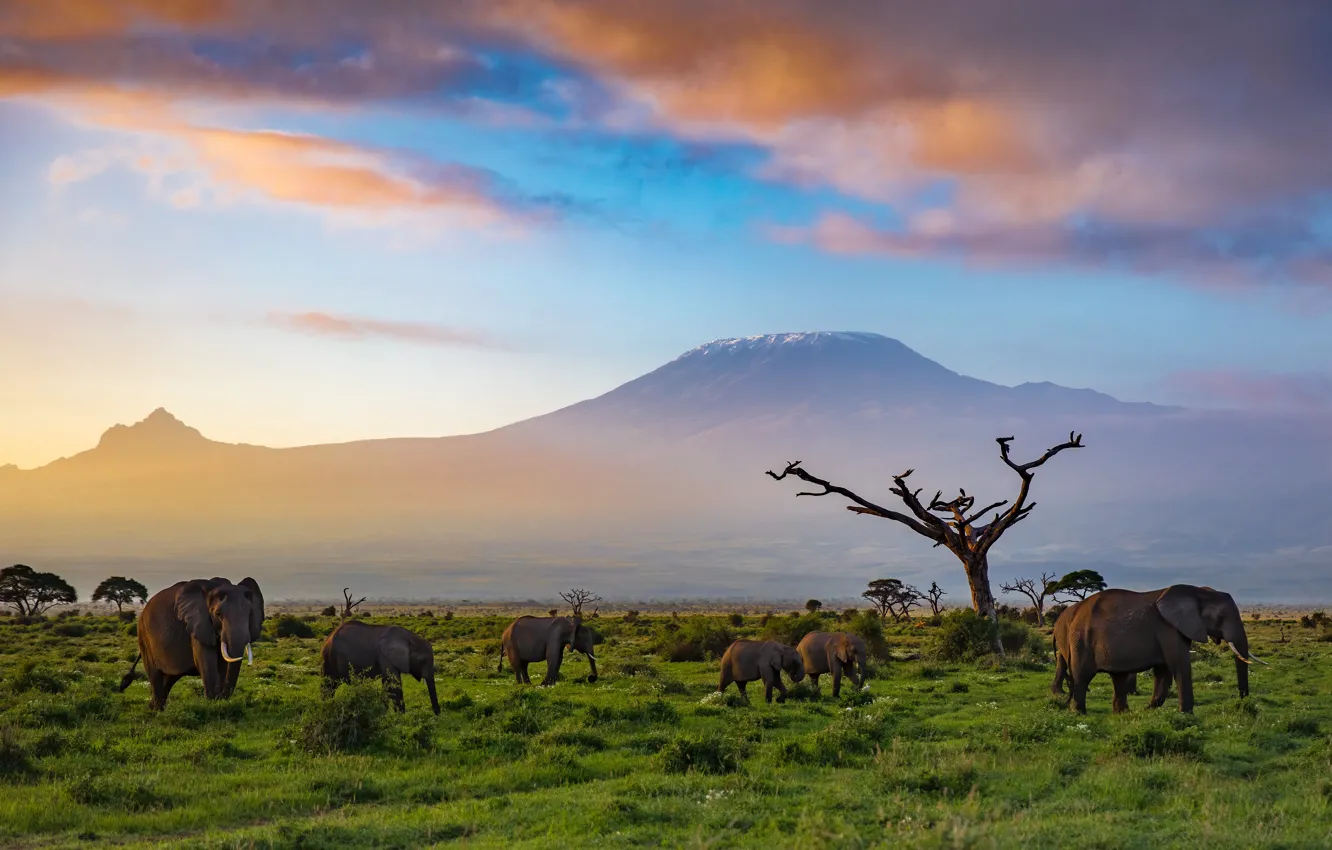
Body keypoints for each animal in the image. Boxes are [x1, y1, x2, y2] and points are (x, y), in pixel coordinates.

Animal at [118, 576, 265, 710]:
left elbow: (222, 664)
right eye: (218, 614)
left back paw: (154, 709)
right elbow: (206, 660)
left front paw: (220, 701)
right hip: (144, 637)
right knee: (155, 675)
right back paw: (156, 711)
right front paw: (214, 703)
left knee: (169, 679)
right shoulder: (198, 624)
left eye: (250, 614)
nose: (223, 696)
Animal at [1055, 585, 1264, 714]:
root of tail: (1074, 613)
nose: (1242, 700)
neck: (1196, 591)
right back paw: (1079, 713)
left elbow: (1164, 671)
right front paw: (1186, 715)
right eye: (1221, 617)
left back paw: (1124, 713)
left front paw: (1148, 710)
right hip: (1081, 640)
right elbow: (1179, 665)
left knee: (1118, 677)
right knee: (1082, 676)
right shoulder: (1168, 629)